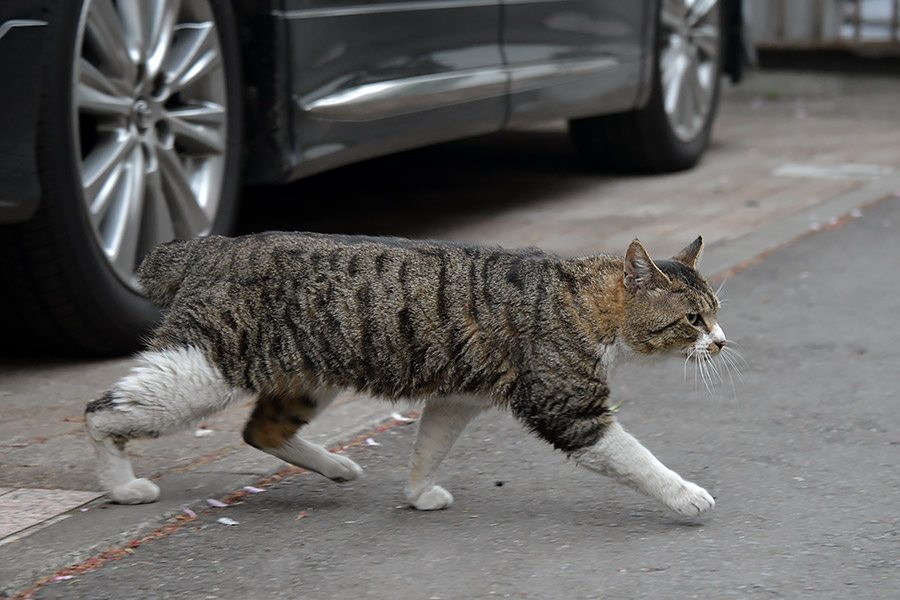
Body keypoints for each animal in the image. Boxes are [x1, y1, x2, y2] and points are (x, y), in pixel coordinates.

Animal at [86, 232, 724, 516]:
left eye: (716, 312)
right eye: (693, 319)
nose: (721, 341)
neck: (586, 302)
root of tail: (211, 246)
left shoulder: (458, 397)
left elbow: (429, 447)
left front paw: (418, 494)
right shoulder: (568, 408)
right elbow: (638, 460)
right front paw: (688, 496)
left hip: (309, 378)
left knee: (260, 430)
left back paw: (336, 466)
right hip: (203, 370)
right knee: (100, 413)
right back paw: (121, 486)